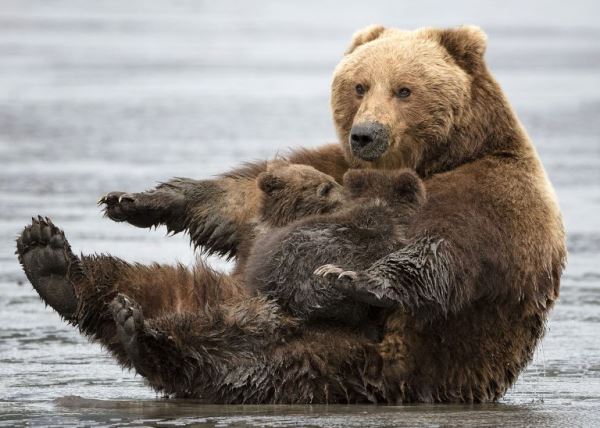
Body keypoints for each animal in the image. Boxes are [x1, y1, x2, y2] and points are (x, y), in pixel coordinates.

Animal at [16, 25, 564, 402]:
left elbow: (445, 252)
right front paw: (139, 199)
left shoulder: (493, 194)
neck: (431, 161)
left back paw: (143, 333)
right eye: (360, 85)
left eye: (404, 89)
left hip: (337, 360)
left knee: (232, 356)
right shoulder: (331, 165)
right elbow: (241, 200)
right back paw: (55, 263)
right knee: (154, 284)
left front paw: (356, 277)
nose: (366, 134)